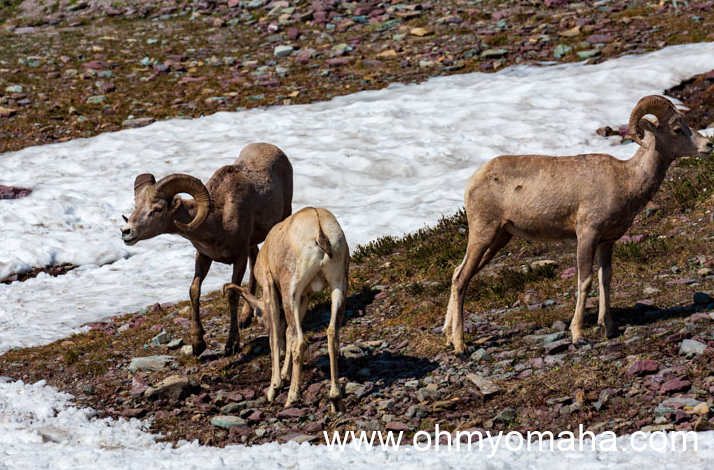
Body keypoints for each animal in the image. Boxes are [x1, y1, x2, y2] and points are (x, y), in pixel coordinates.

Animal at [121, 142, 293, 357]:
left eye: (158, 209)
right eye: (136, 205)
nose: (126, 232)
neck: (218, 219)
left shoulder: (239, 257)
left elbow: (232, 294)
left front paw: (231, 345)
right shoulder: (203, 256)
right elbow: (194, 290)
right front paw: (198, 344)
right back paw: (245, 318)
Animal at [222, 207, 349, 412]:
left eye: (259, 318)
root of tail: (320, 232)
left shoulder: (270, 290)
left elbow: (276, 339)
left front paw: (274, 387)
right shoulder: (305, 297)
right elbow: (288, 333)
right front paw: (284, 375)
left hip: (291, 291)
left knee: (300, 341)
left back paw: (292, 397)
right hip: (338, 287)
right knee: (332, 334)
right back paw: (335, 399)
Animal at [443, 95, 714, 354]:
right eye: (677, 129)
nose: (708, 145)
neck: (626, 179)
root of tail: (473, 180)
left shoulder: (607, 241)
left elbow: (605, 278)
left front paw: (610, 328)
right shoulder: (587, 236)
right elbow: (585, 281)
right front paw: (578, 335)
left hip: (499, 238)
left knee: (458, 273)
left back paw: (448, 337)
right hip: (484, 233)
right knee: (461, 280)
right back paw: (460, 346)